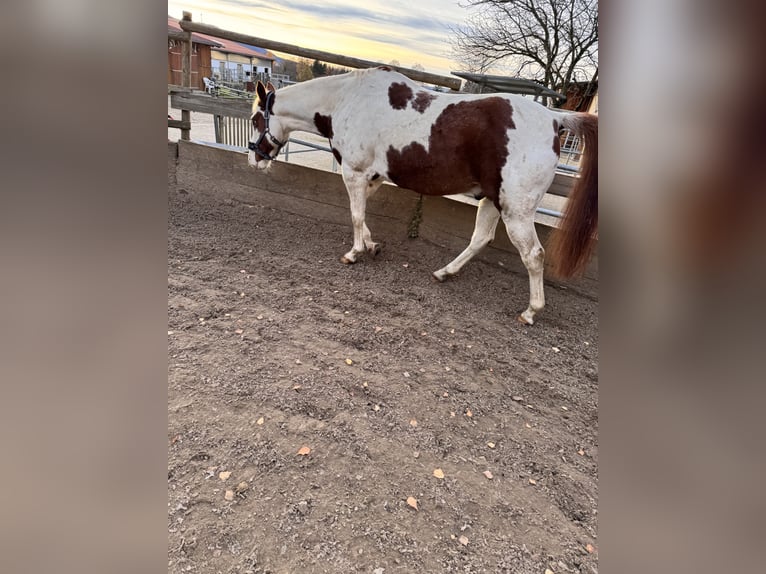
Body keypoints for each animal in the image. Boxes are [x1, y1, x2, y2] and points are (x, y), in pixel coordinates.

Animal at [247, 68, 597, 325]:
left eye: (254, 119)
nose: (253, 159)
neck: (348, 101)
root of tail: (554, 119)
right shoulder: (373, 176)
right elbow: (364, 216)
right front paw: (372, 246)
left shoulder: (354, 172)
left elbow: (356, 215)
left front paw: (354, 253)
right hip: (492, 201)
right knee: (480, 239)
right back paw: (444, 273)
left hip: (516, 211)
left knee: (534, 255)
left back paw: (530, 312)